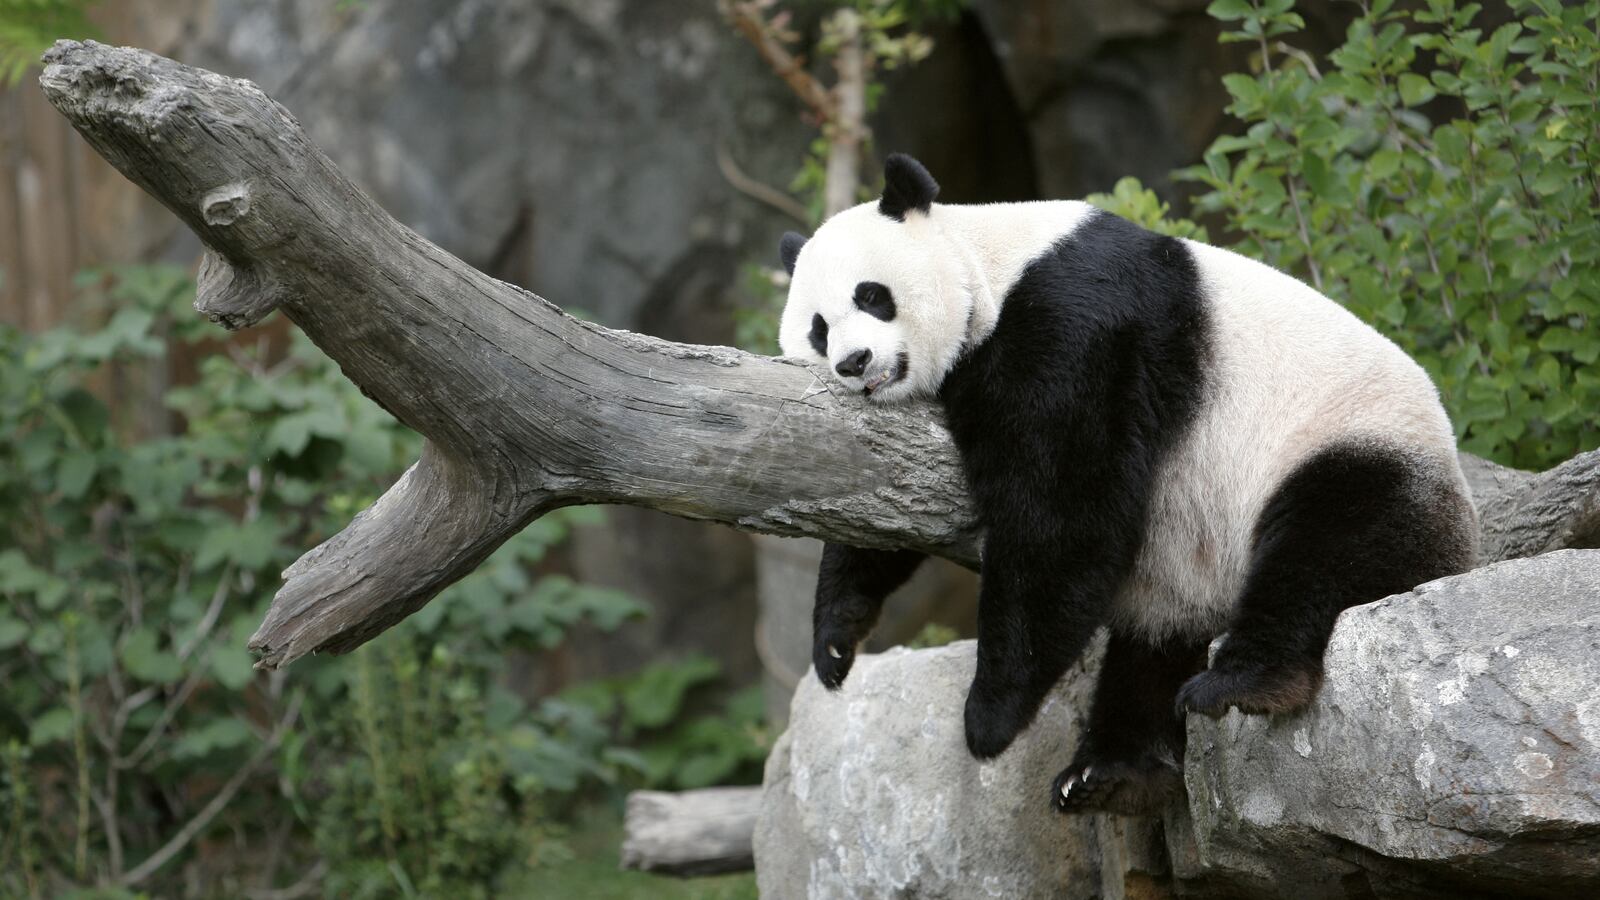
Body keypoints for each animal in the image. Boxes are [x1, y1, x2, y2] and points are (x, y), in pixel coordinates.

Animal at [777, 153, 1479, 815]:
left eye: (872, 296)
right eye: (818, 328)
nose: (854, 363)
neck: (991, 263)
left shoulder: (1075, 323)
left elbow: (1063, 510)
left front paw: (989, 717)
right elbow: (883, 500)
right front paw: (836, 640)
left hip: (1350, 445)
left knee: (1327, 546)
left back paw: (1242, 683)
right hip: (1187, 571)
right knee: (1154, 646)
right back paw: (1110, 771)